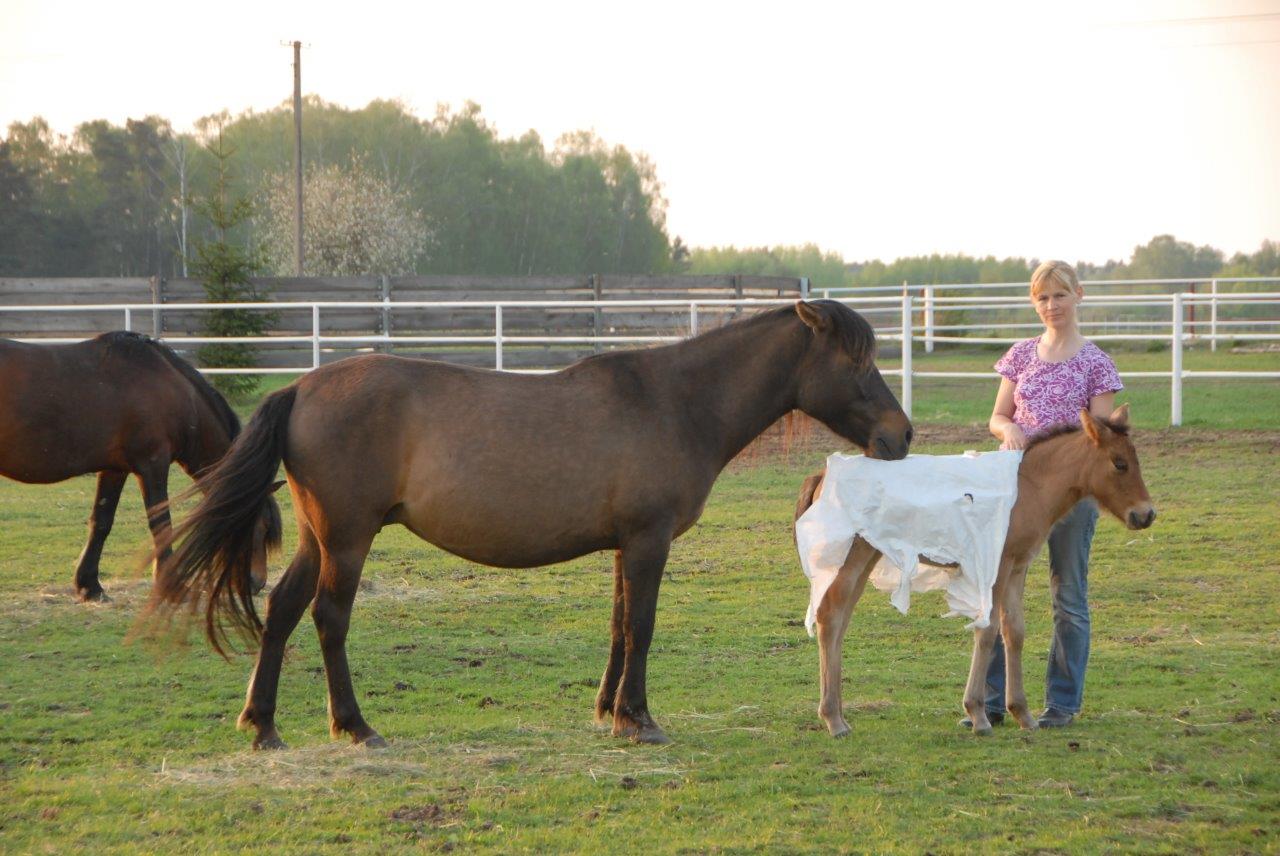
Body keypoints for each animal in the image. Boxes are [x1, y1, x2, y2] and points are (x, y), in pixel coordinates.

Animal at [0, 330, 282, 598]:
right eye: (260, 526)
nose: (256, 583)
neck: (176, 392)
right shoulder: (153, 465)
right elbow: (161, 524)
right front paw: (170, 583)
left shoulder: (115, 469)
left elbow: (101, 522)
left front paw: (89, 586)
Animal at [147, 300, 911, 747]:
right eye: (858, 360)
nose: (900, 436)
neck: (673, 401)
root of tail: (302, 387)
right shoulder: (648, 541)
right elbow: (642, 626)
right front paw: (639, 719)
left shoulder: (624, 545)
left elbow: (618, 624)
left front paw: (609, 710)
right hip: (349, 539)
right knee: (329, 619)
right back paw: (355, 726)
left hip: (320, 538)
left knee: (280, 610)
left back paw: (262, 724)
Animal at [793, 406, 1157, 737]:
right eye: (1120, 463)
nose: (1146, 514)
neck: (1028, 488)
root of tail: (822, 475)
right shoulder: (995, 566)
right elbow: (988, 630)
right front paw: (979, 715)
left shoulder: (1017, 567)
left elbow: (1014, 631)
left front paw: (1022, 714)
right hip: (850, 556)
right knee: (830, 615)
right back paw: (833, 719)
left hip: (867, 555)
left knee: (840, 618)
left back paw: (838, 713)